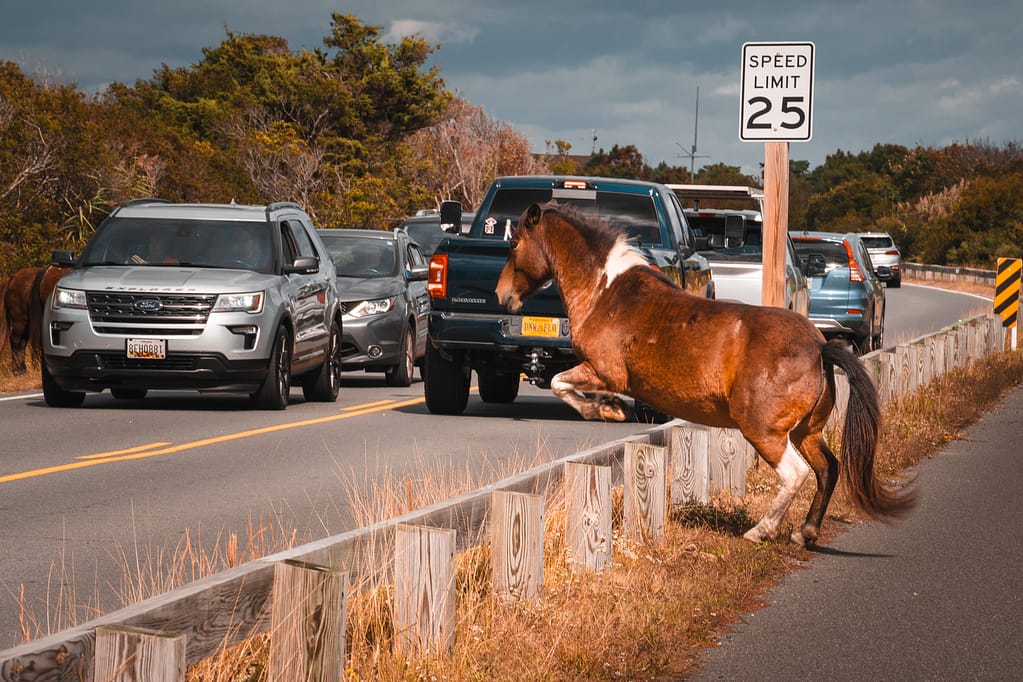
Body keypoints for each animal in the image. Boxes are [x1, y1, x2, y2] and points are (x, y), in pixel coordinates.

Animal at [491, 200, 916, 548]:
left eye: (513, 246)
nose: (501, 296)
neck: (606, 291)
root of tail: (818, 346)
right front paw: (608, 408)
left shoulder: (602, 371)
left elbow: (560, 383)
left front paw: (605, 409)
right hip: (806, 432)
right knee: (828, 469)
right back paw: (805, 532)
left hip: (764, 432)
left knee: (795, 474)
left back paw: (761, 531)